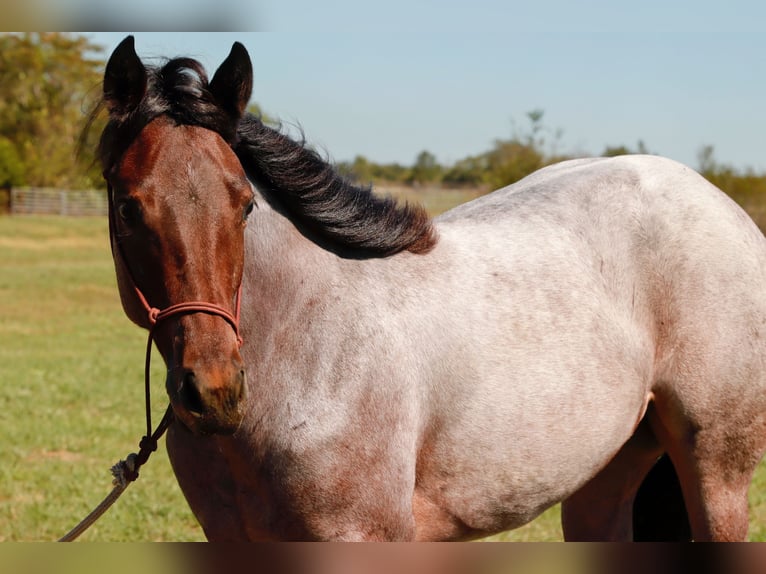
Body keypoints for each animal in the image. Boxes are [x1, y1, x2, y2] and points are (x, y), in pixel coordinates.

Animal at [92, 35, 766, 541]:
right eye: (128, 208)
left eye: (245, 205)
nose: (214, 392)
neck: (307, 353)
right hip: (605, 480)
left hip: (717, 474)